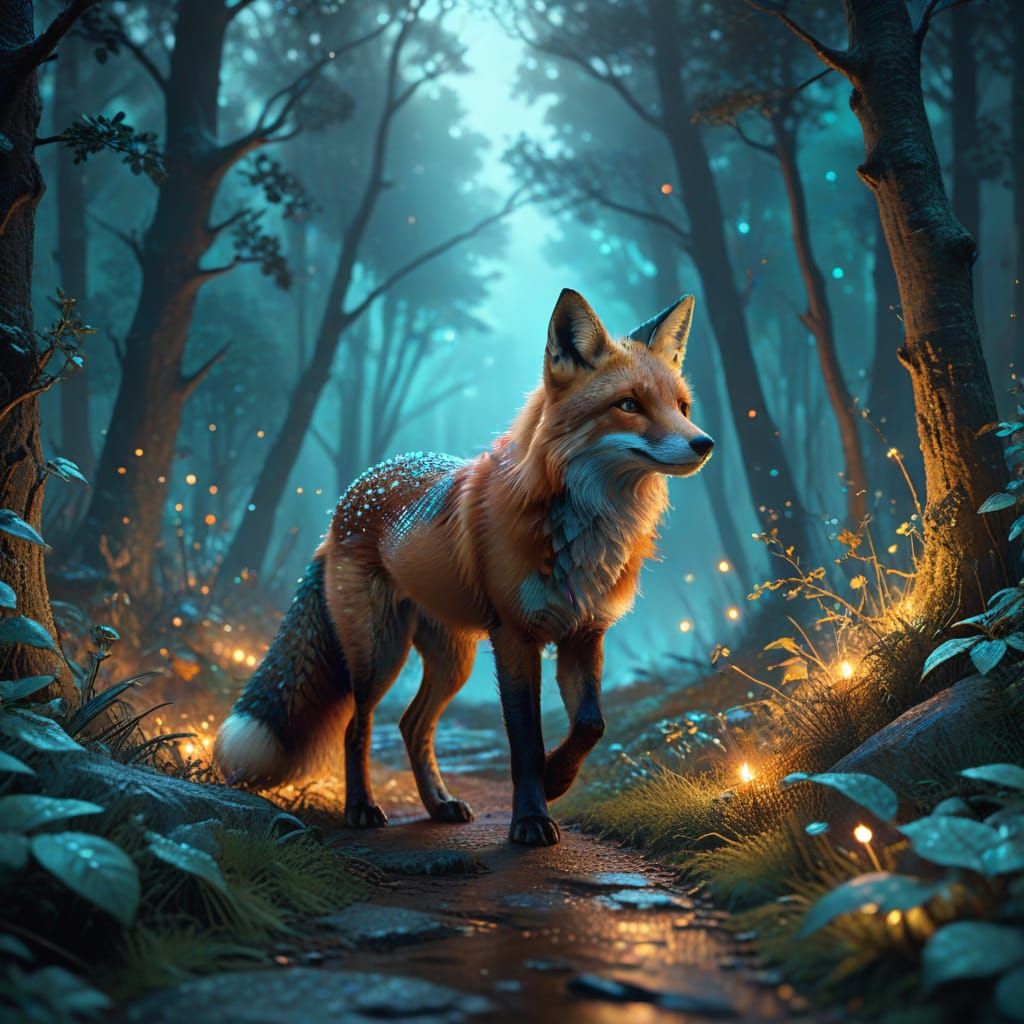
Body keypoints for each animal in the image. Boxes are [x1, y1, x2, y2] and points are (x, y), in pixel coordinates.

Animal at [215, 288, 714, 846]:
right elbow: (524, 741)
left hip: (454, 659)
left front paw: (558, 779)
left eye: (682, 407)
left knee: (412, 726)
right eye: (628, 405)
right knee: (357, 727)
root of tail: (351, 495)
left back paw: (439, 803)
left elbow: (591, 725)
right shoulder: (515, 636)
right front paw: (531, 819)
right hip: (379, 654)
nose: (705, 443)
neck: (582, 535)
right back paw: (361, 808)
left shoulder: (585, 632)